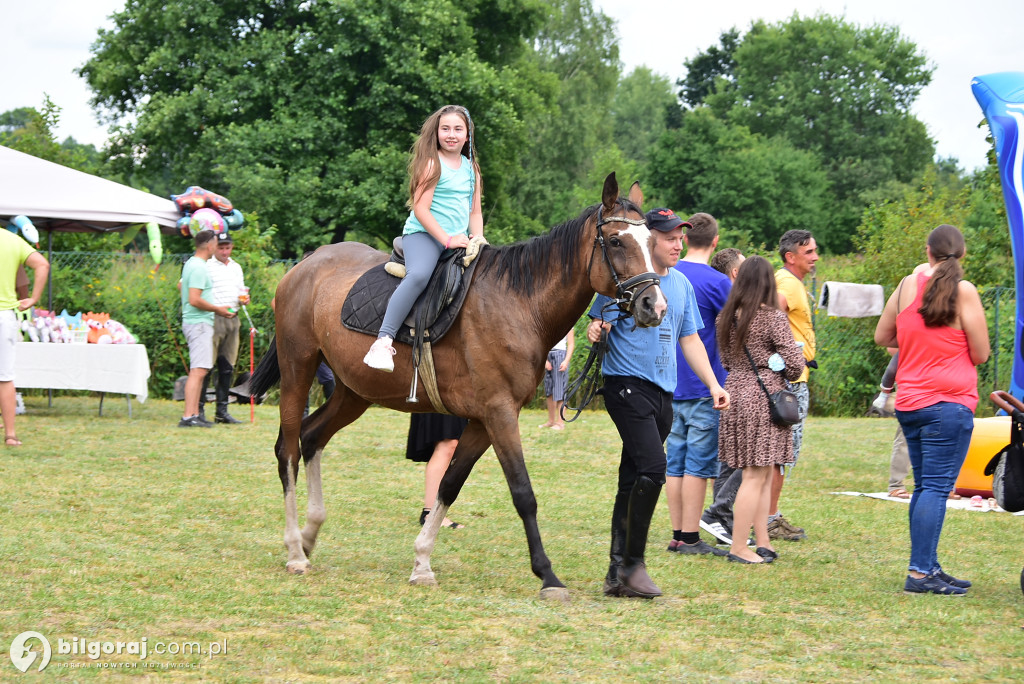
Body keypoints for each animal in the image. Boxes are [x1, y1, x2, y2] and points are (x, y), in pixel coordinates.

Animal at [247, 172, 663, 597]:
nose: (654, 305)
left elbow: (449, 484)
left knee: (312, 437)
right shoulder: (500, 414)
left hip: (354, 392)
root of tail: (306, 265)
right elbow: (523, 493)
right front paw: (547, 575)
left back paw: (309, 534)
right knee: (288, 450)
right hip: (298, 368)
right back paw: (295, 549)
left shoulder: (482, 420)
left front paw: (422, 562)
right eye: (616, 241)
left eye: (651, 243)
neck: (519, 303)